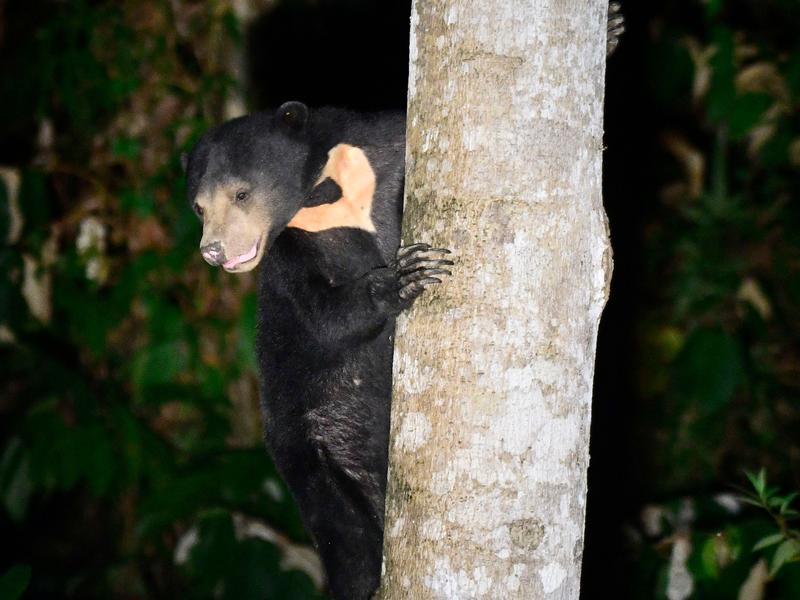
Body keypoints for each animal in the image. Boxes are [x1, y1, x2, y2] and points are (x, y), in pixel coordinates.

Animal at [184, 102, 452, 600]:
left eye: (241, 194)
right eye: (198, 207)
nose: (213, 251)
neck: (326, 194)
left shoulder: (383, 150)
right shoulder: (288, 255)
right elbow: (325, 317)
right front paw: (404, 277)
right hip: (308, 457)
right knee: (348, 541)